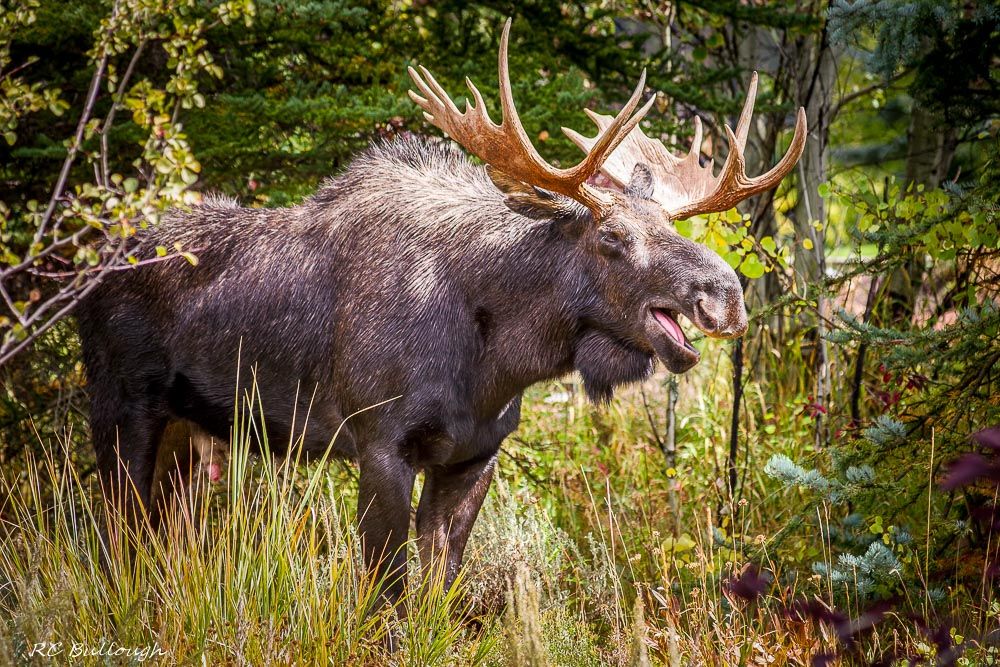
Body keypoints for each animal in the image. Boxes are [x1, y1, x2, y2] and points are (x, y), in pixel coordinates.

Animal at [76, 19, 805, 608]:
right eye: (612, 237)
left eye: (668, 224)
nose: (725, 293)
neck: (496, 361)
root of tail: (86, 265)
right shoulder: (381, 445)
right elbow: (387, 593)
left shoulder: (473, 456)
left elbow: (439, 590)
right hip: (121, 406)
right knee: (114, 539)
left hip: (189, 430)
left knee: (157, 534)